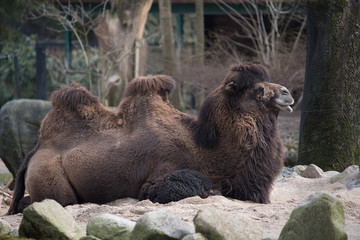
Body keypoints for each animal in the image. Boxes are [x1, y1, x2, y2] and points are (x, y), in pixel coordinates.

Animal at [7, 62, 294, 215]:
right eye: (257, 89)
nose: (287, 93)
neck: (209, 151)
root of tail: (33, 153)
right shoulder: (159, 179)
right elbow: (205, 188)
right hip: (51, 179)